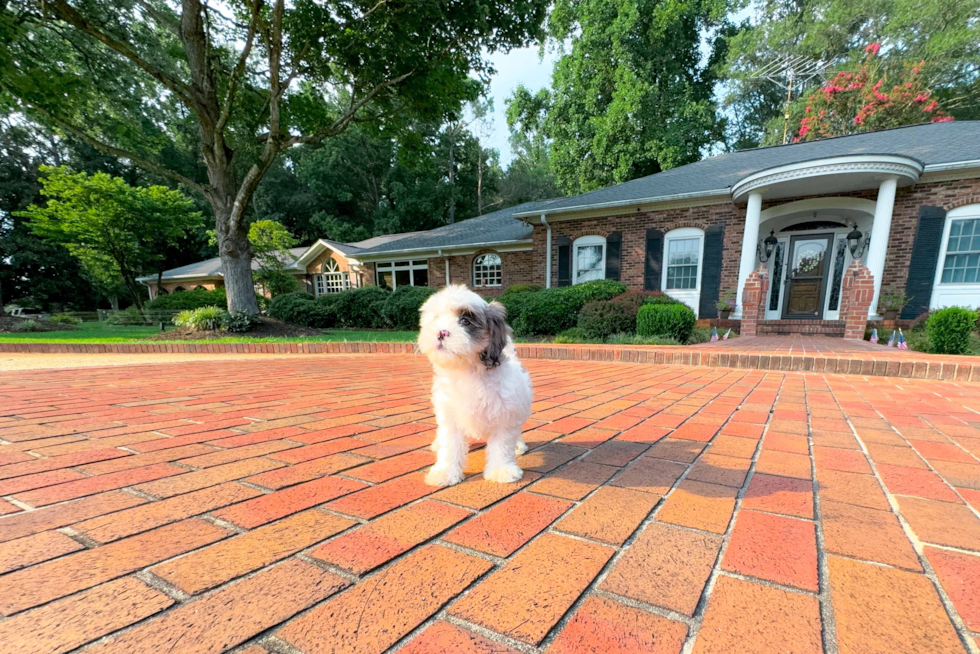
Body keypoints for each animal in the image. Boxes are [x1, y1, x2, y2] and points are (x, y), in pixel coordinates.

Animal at [416, 288, 532, 486]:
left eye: (465, 321)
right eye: (436, 319)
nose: (441, 332)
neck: (468, 370)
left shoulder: (505, 413)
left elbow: (502, 444)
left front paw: (501, 469)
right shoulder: (449, 413)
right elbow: (450, 444)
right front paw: (445, 472)